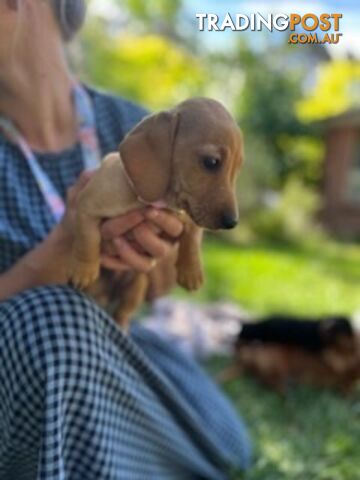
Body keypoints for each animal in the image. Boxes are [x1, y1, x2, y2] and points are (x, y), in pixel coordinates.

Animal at [67, 97, 243, 330]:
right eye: (211, 162)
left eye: (237, 169)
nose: (232, 222)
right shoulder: (86, 206)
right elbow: (87, 239)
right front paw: (84, 270)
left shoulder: (189, 216)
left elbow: (192, 240)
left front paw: (191, 271)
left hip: (137, 286)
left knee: (123, 314)